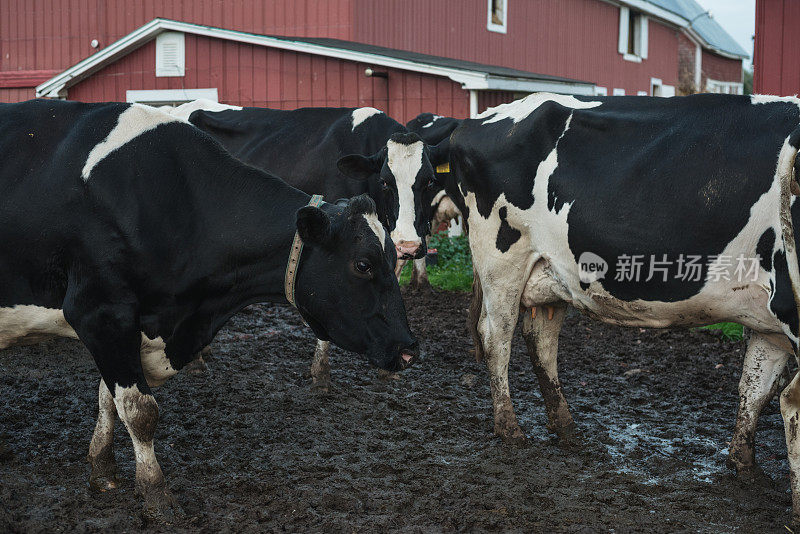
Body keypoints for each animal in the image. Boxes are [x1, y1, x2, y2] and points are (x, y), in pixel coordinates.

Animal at [0, 99, 416, 524]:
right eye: (363, 264)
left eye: (391, 258)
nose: (408, 349)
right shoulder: (100, 313)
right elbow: (140, 410)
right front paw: (156, 494)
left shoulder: (132, 327)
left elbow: (108, 399)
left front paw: (103, 469)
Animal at [446, 92, 800, 524]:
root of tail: (479, 118)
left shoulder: (772, 323)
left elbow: (755, 388)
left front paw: (745, 467)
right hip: (501, 261)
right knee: (496, 338)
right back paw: (509, 428)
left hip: (550, 274)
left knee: (541, 342)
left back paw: (566, 429)